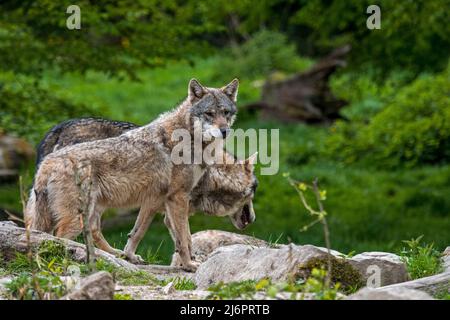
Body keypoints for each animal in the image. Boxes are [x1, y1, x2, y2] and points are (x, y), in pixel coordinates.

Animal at [26, 78, 255, 270]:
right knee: (62, 237)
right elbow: (184, 238)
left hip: (91, 208)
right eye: (209, 114)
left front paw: (134, 257)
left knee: (88, 231)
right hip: (77, 217)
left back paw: (112, 255)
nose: (225, 131)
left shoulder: (157, 201)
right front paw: (190, 265)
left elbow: (141, 233)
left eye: (226, 113)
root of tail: (47, 163)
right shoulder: (177, 199)